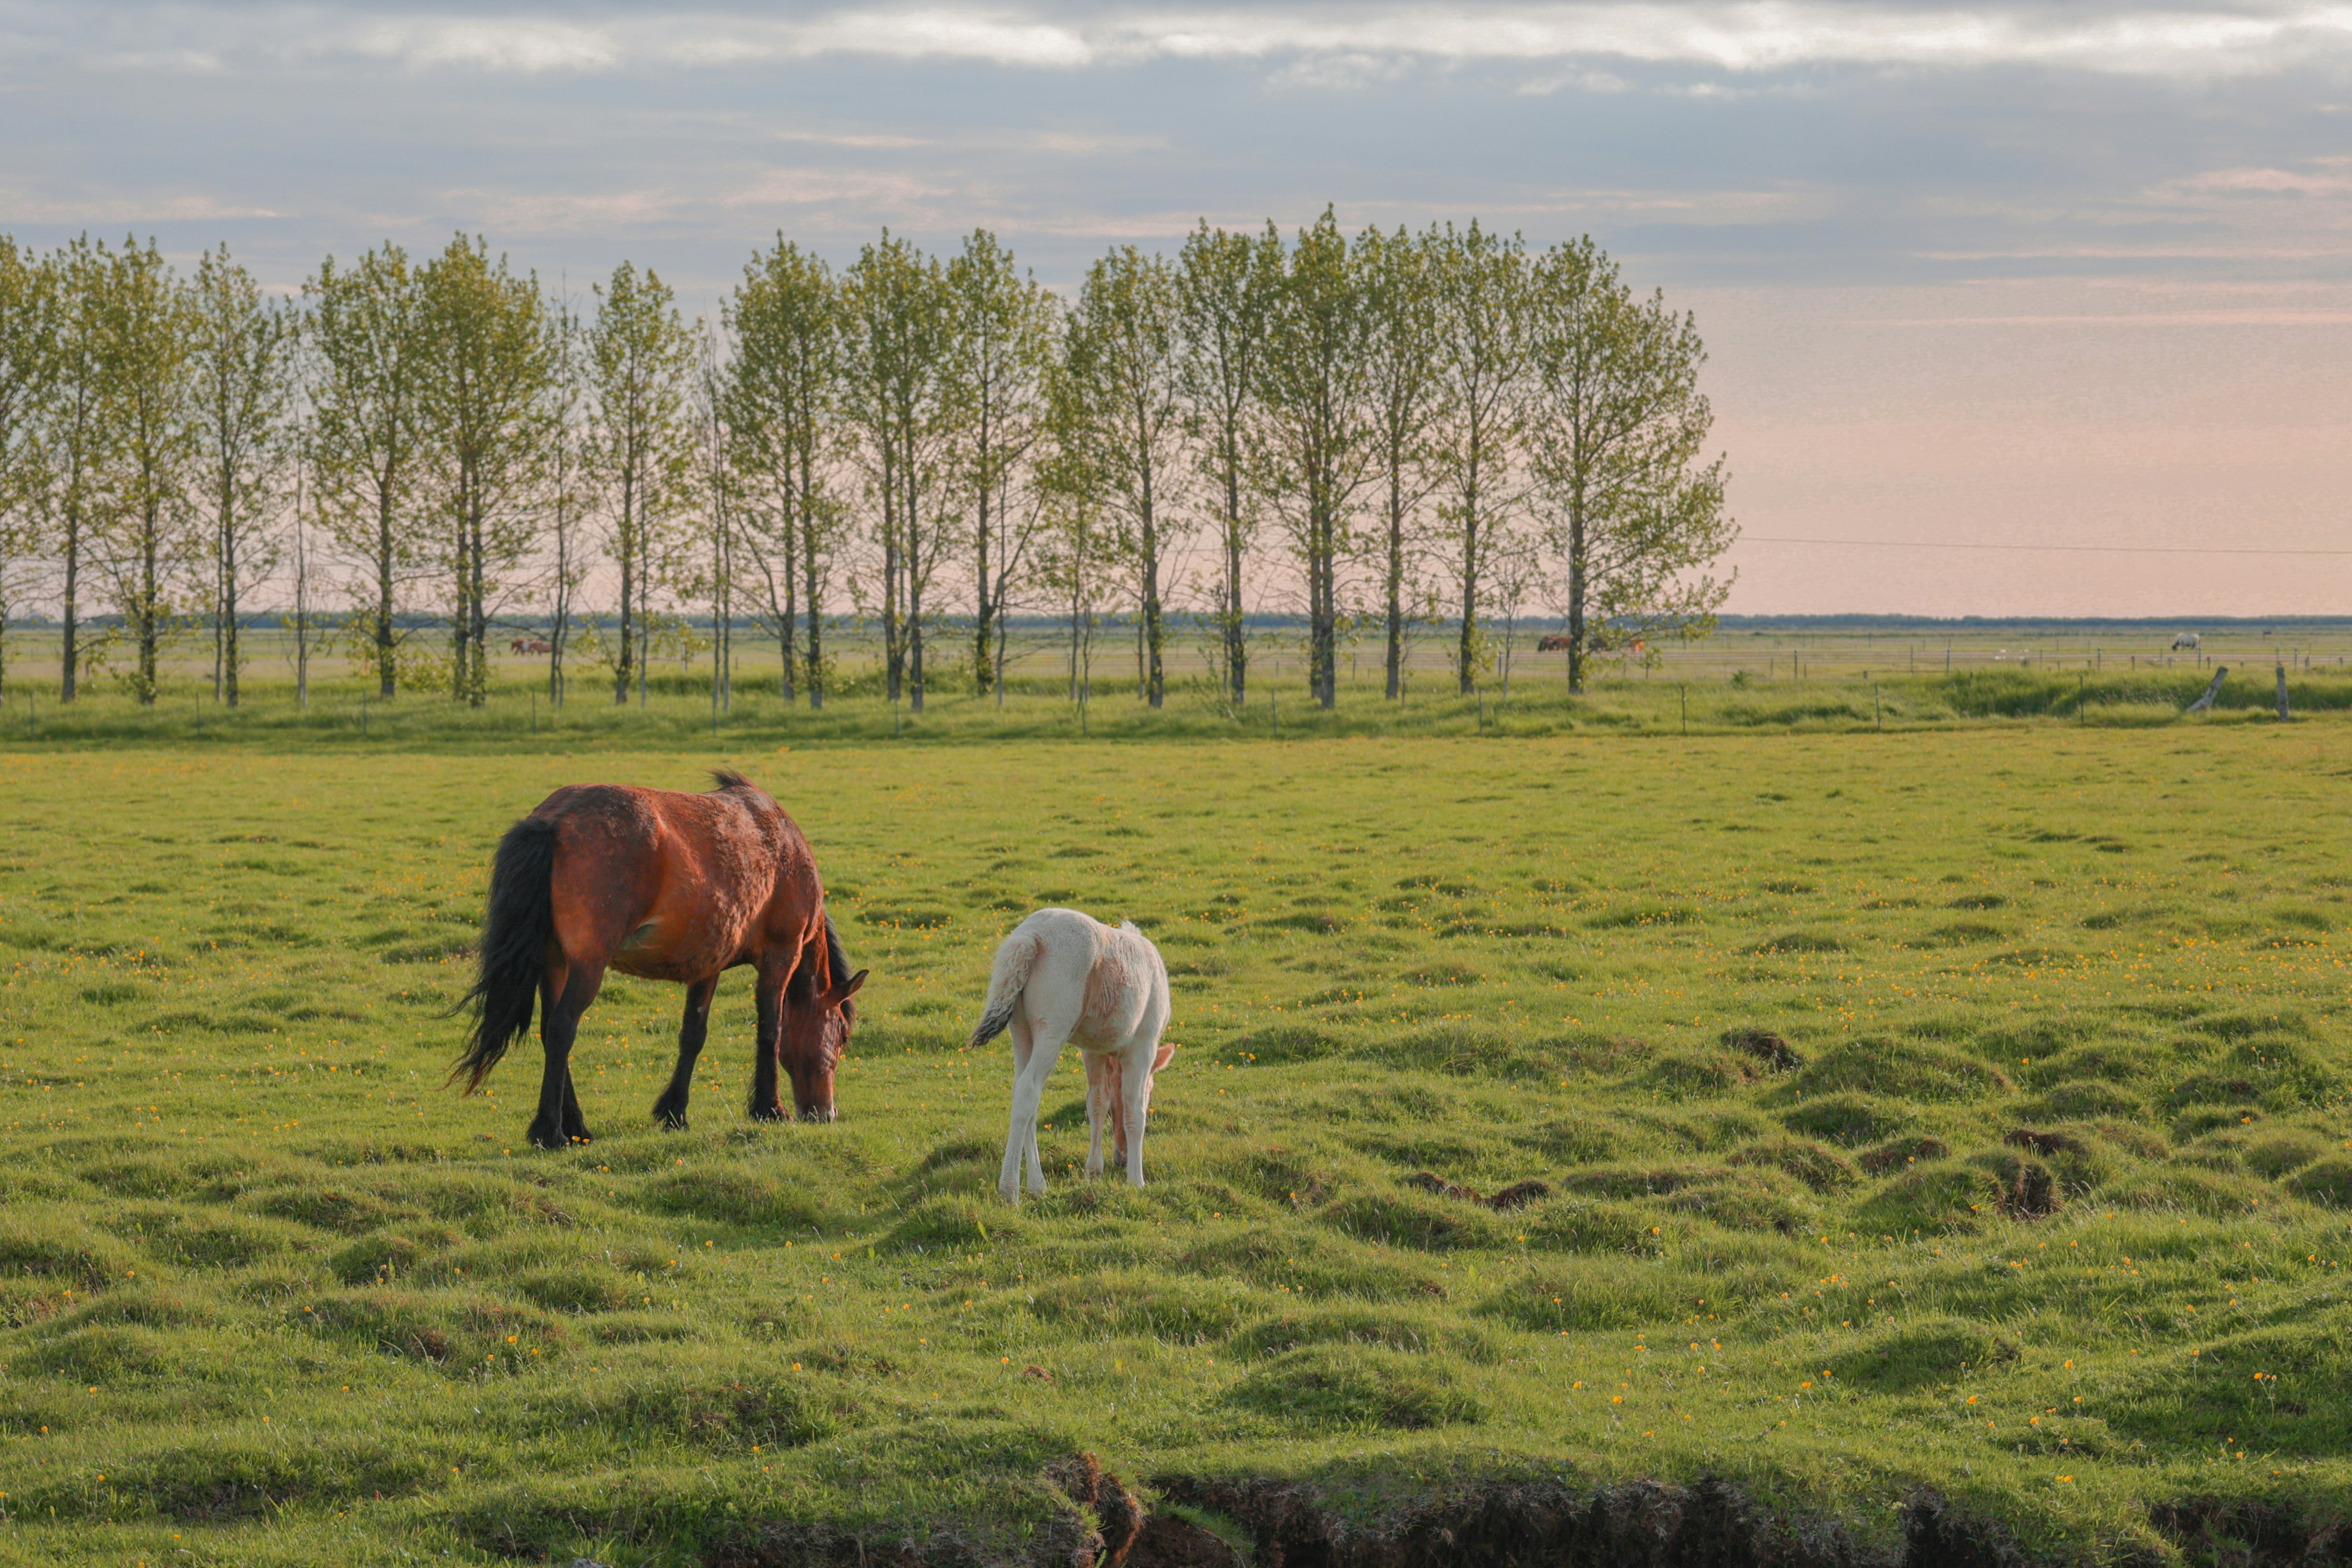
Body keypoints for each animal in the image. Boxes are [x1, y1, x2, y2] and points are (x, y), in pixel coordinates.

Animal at [451, 770, 867, 1148]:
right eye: (844, 1036)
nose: (825, 1114)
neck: (784, 845)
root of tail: (551, 820)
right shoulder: (781, 957)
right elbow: (771, 1031)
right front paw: (769, 1109)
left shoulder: (708, 965)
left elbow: (693, 1036)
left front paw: (675, 1113)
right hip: (587, 966)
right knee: (561, 1029)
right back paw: (552, 1132)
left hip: (556, 964)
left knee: (547, 1028)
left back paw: (576, 1126)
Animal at [970, 908, 1172, 1204]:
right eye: (1152, 1089)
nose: (1121, 1159)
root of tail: (1030, 936)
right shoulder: (1143, 1047)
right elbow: (1135, 1110)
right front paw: (1137, 1181)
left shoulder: (1093, 1051)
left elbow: (1097, 1103)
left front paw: (1094, 1172)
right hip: (1052, 1030)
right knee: (1028, 1090)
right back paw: (1010, 1189)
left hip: (1021, 1032)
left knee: (1024, 1094)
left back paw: (1037, 1184)